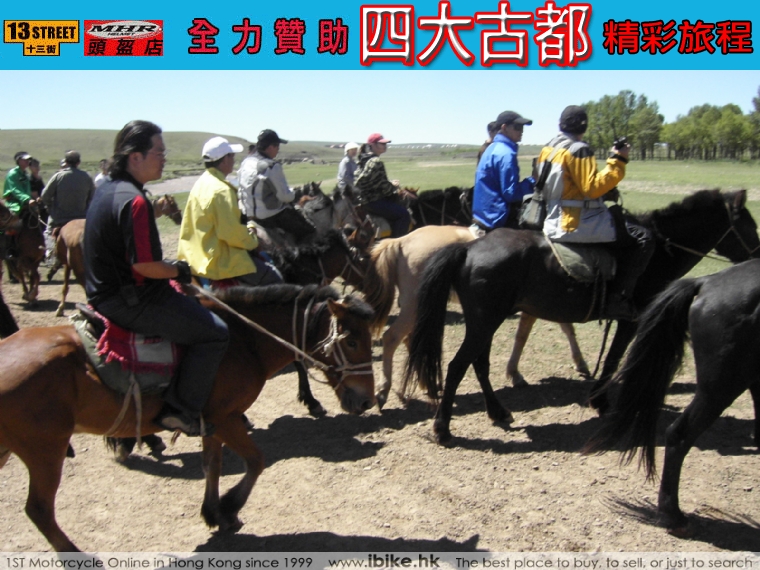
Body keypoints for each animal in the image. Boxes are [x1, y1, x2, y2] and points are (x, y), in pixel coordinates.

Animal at [0, 283, 375, 552]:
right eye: (352, 341)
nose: (367, 400)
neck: (243, 339)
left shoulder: (211, 422)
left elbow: (213, 465)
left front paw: (215, 513)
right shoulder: (227, 417)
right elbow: (256, 460)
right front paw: (229, 507)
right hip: (45, 451)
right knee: (39, 510)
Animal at [359, 224, 590, 409]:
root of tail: (401, 241)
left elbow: (530, 334)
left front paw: (515, 373)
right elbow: (555, 329)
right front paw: (580, 363)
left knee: (411, 339)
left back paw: (428, 384)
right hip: (414, 307)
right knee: (392, 337)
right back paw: (383, 390)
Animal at [404, 190, 760, 443]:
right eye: (751, 224)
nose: (757, 255)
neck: (661, 250)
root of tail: (469, 248)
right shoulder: (632, 319)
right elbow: (616, 358)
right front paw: (601, 401)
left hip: (486, 321)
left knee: (478, 364)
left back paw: (498, 412)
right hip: (484, 321)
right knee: (457, 366)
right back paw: (443, 428)